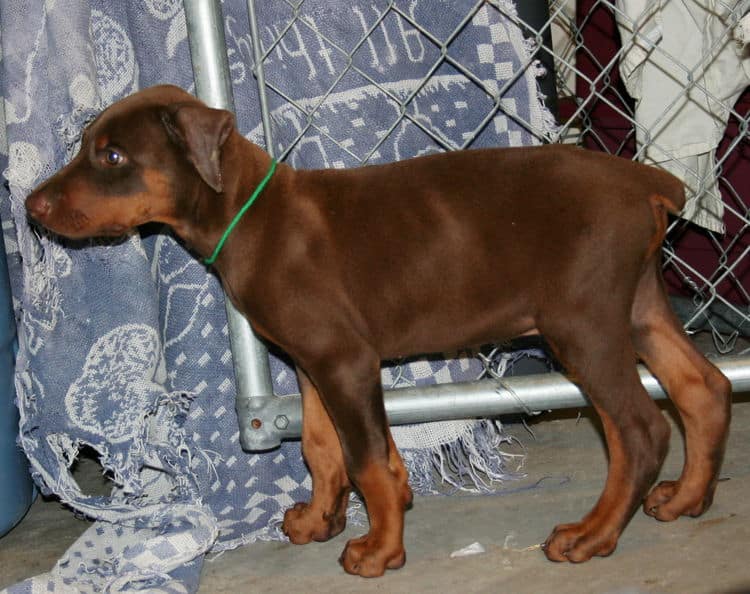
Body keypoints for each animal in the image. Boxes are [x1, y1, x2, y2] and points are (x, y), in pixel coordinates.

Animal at [26, 85, 732, 576]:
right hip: (638, 309)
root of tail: (644, 179)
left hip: (582, 326)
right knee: (705, 390)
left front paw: (380, 549)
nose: (31, 207)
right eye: (87, 144)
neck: (252, 215)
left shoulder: (344, 362)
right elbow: (322, 448)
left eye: (112, 155)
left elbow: (365, 459)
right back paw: (686, 499)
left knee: (638, 431)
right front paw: (323, 519)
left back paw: (592, 535)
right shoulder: (311, 363)